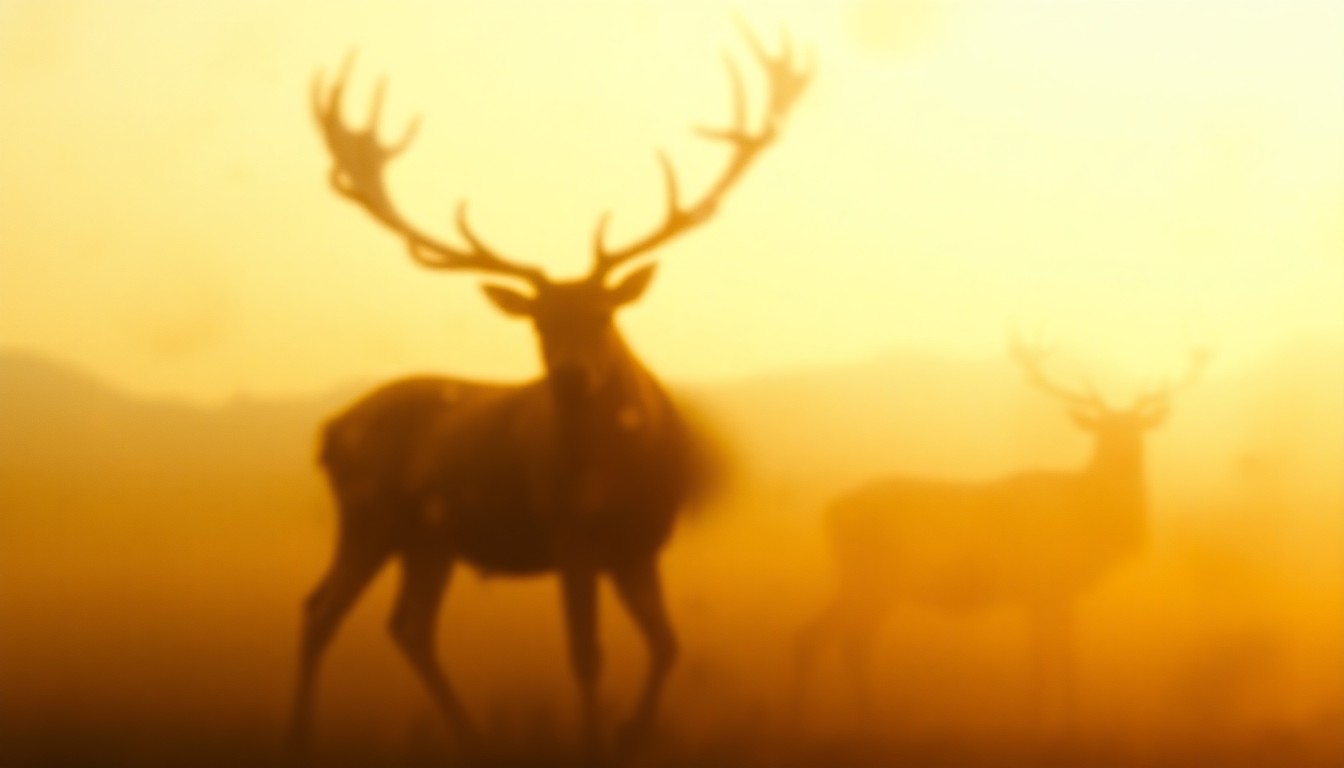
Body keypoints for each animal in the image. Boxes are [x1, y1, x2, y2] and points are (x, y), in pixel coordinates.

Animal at [288, 23, 812, 756]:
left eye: (602, 315)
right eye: (540, 322)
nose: (570, 374)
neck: (620, 468)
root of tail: (330, 430)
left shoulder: (644, 542)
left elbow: (668, 646)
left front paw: (629, 734)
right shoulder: (571, 535)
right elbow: (586, 654)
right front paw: (597, 740)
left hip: (429, 538)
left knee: (408, 626)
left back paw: (473, 740)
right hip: (370, 515)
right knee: (322, 608)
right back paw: (301, 737)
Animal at [791, 338, 1209, 734]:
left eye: (1138, 432)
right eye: (1103, 432)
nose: (1125, 459)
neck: (1085, 522)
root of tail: (830, 511)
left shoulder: (1059, 594)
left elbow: (1064, 660)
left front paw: (1065, 721)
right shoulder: (1044, 586)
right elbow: (1045, 662)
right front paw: (1041, 723)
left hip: (862, 579)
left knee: (818, 636)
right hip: (875, 577)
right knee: (846, 639)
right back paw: (862, 721)